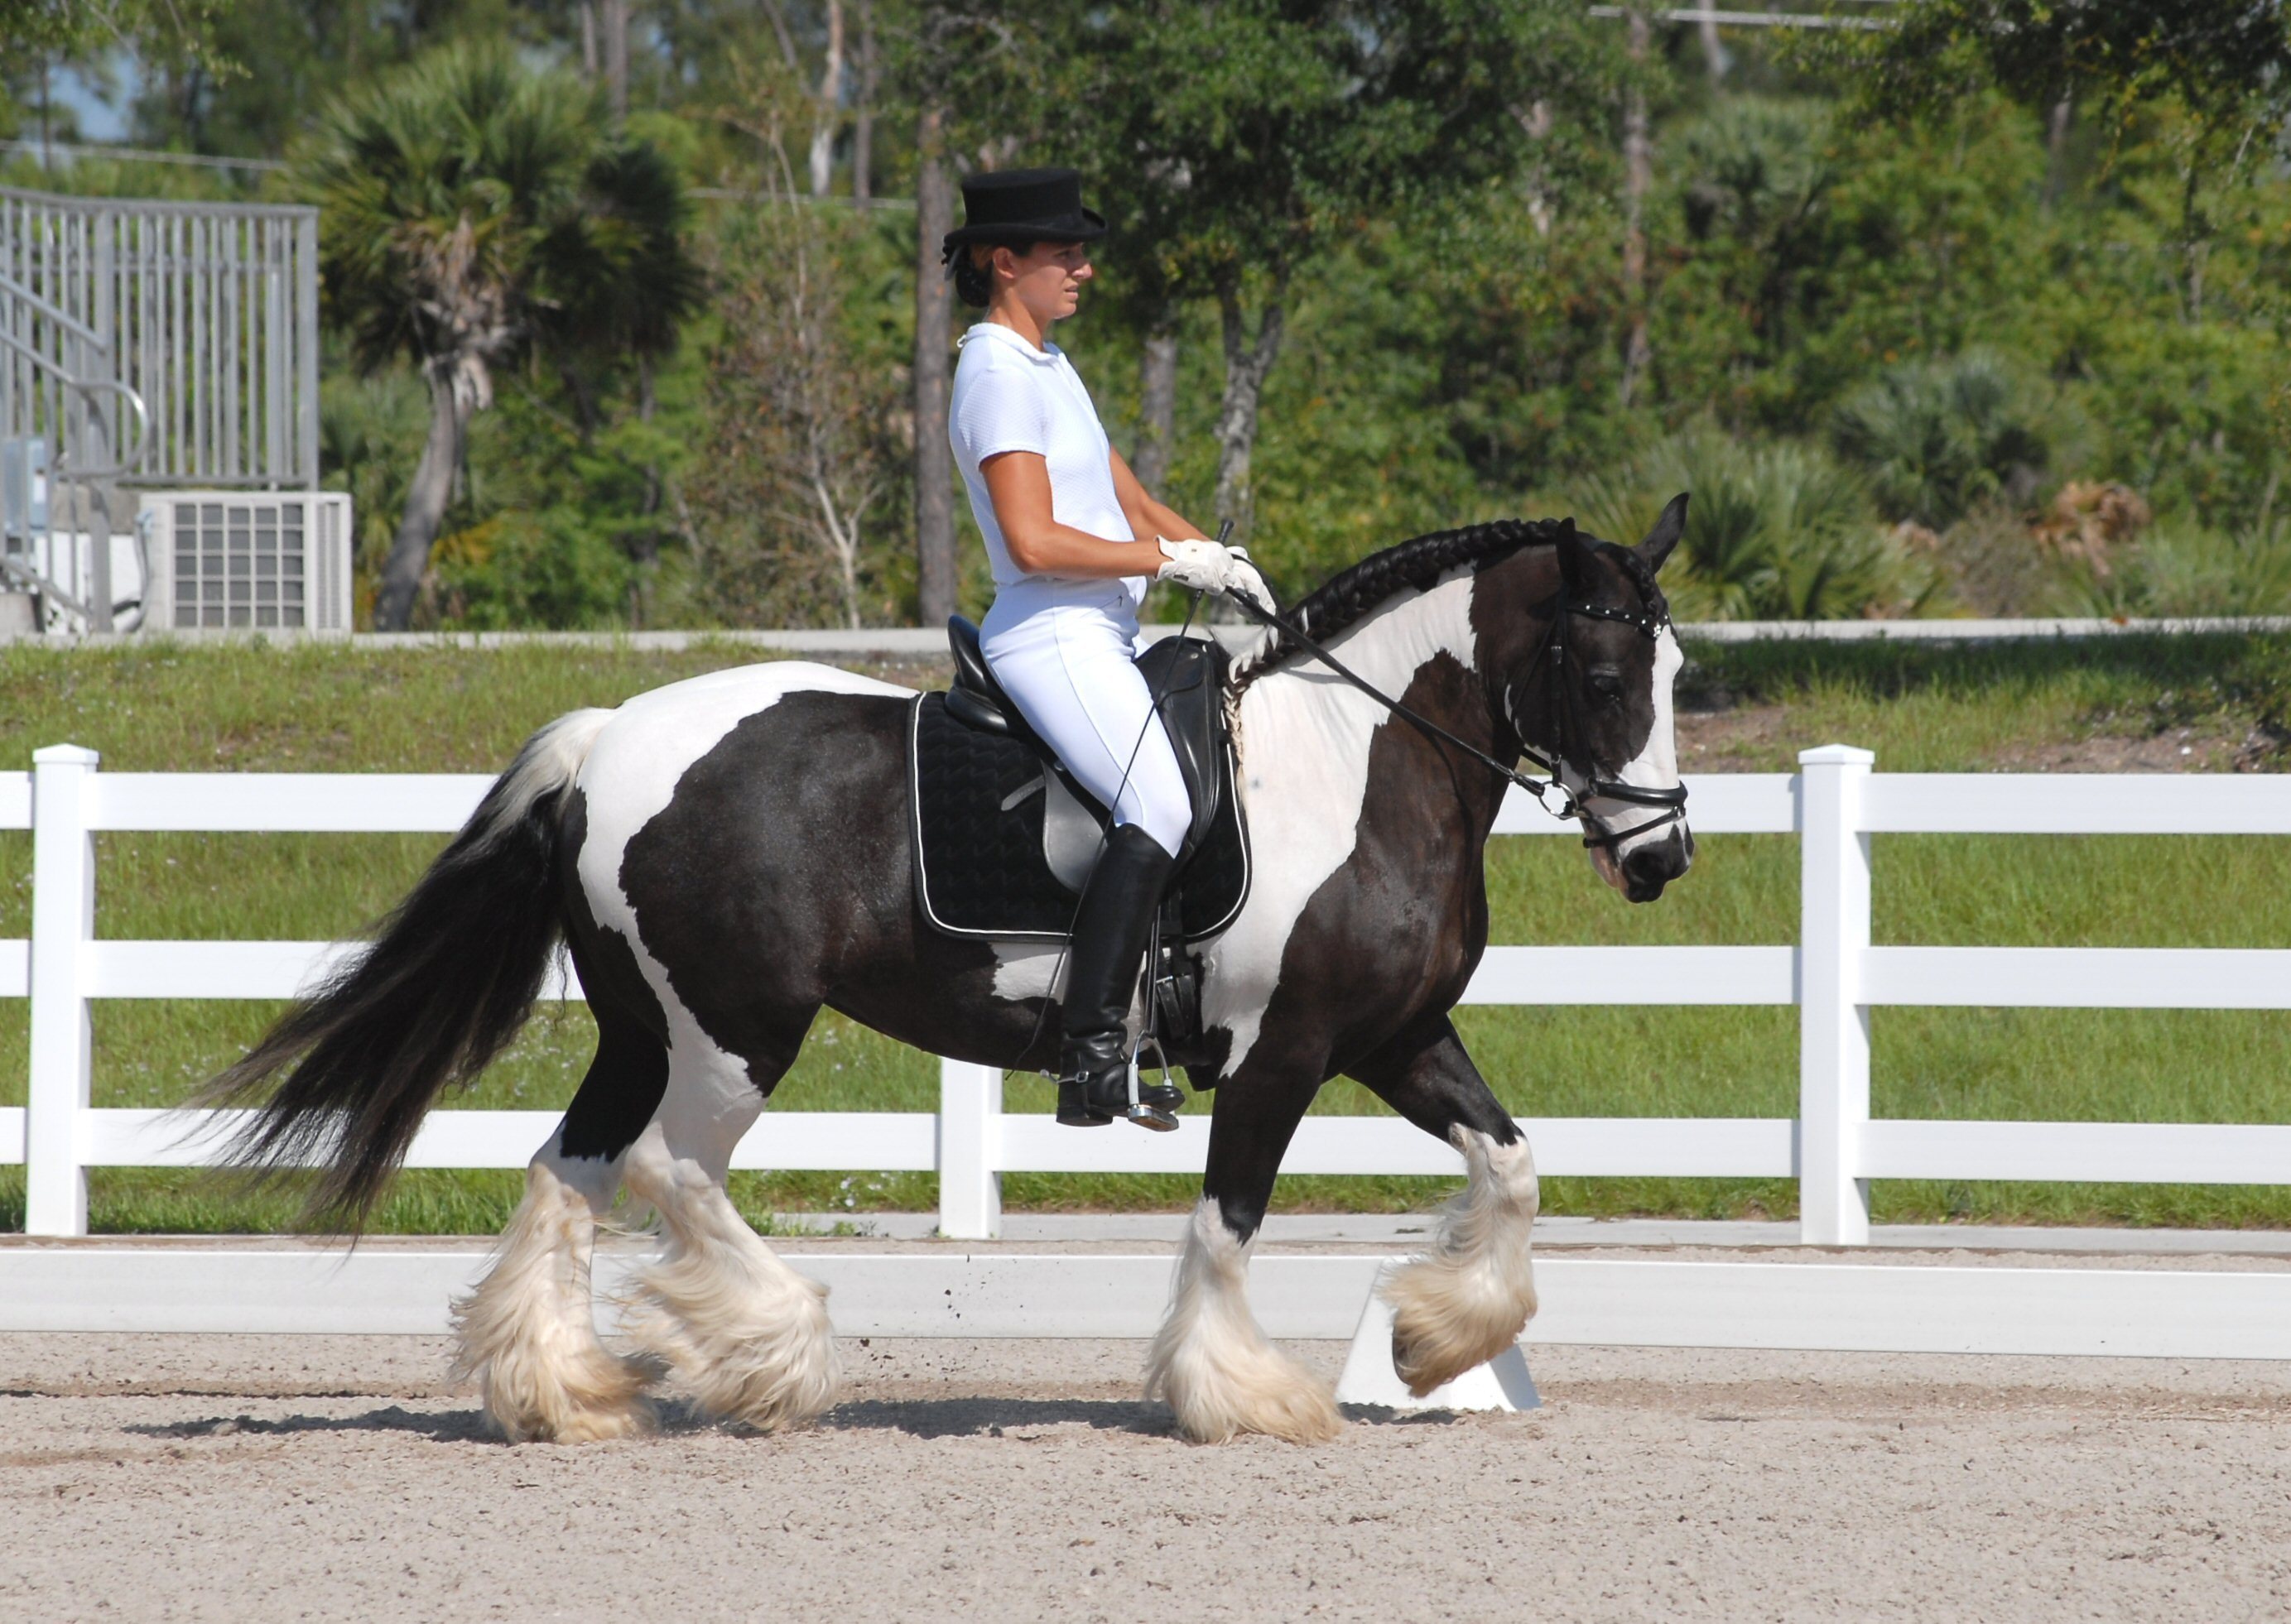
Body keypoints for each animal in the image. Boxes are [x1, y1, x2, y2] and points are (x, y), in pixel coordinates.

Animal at [206, 506, 1695, 1447]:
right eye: (1601, 667)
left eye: (1675, 663)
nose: (1661, 855)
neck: (1353, 758)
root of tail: (609, 734)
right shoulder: (1283, 1054)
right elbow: (1227, 1221)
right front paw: (1244, 1396)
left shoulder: (1395, 1035)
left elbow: (1512, 1166)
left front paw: (1438, 1343)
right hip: (735, 1028)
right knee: (669, 1171)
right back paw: (772, 1358)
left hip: (642, 1026)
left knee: (568, 1172)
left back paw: (563, 1394)